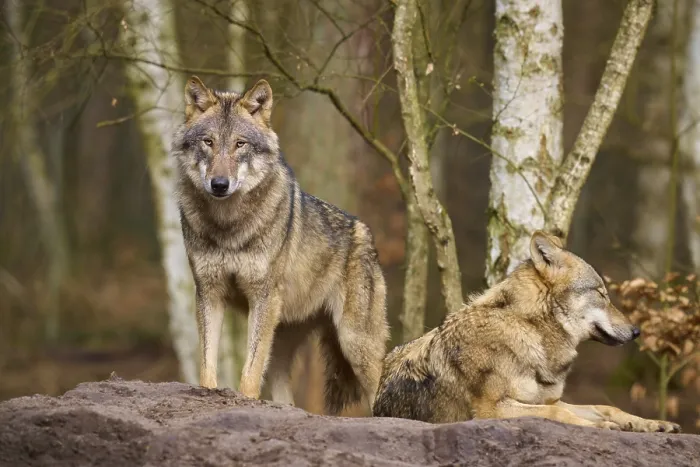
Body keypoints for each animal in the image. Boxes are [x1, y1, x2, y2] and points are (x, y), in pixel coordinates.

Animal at [172, 76, 389, 414]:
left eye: (240, 144)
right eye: (208, 142)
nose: (219, 185)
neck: (228, 227)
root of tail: (365, 231)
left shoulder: (261, 296)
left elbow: (250, 370)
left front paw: (245, 402)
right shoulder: (209, 292)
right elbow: (208, 363)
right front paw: (207, 393)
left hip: (355, 343)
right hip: (284, 342)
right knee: (286, 397)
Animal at [373, 231, 681, 432]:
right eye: (601, 293)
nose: (637, 331)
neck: (531, 331)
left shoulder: (547, 398)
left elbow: (606, 407)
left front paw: (650, 424)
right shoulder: (492, 409)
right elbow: (557, 412)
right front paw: (607, 427)